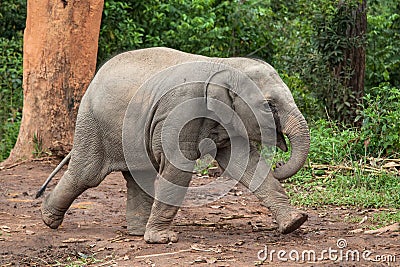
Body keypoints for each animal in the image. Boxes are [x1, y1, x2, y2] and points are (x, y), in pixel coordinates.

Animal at [37, 47, 310, 244]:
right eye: (269, 105)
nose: (279, 164)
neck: (224, 64)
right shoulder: (183, 109)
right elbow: (179, 166)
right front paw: (163, 239)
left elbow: (244, 163)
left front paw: (295, 222)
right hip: (93, 123)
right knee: (87, 173)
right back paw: (49, 220)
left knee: (138, 175)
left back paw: (137, 232)